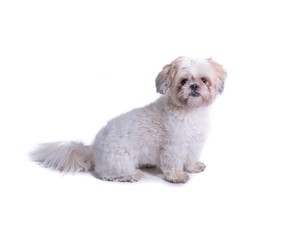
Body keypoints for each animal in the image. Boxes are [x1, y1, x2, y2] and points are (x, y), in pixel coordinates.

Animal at [31, 56, 227, 184]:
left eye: (204, 80)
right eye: (183, 81)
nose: (194, 86)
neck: (190, 111)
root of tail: (93, 150)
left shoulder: (194, 142)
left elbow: (191, 156)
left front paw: (192, 167)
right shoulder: (173, 145)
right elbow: (173, 162)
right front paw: (177, 176)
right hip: (121, 160)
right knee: (107, 174)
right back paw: (131, 176)